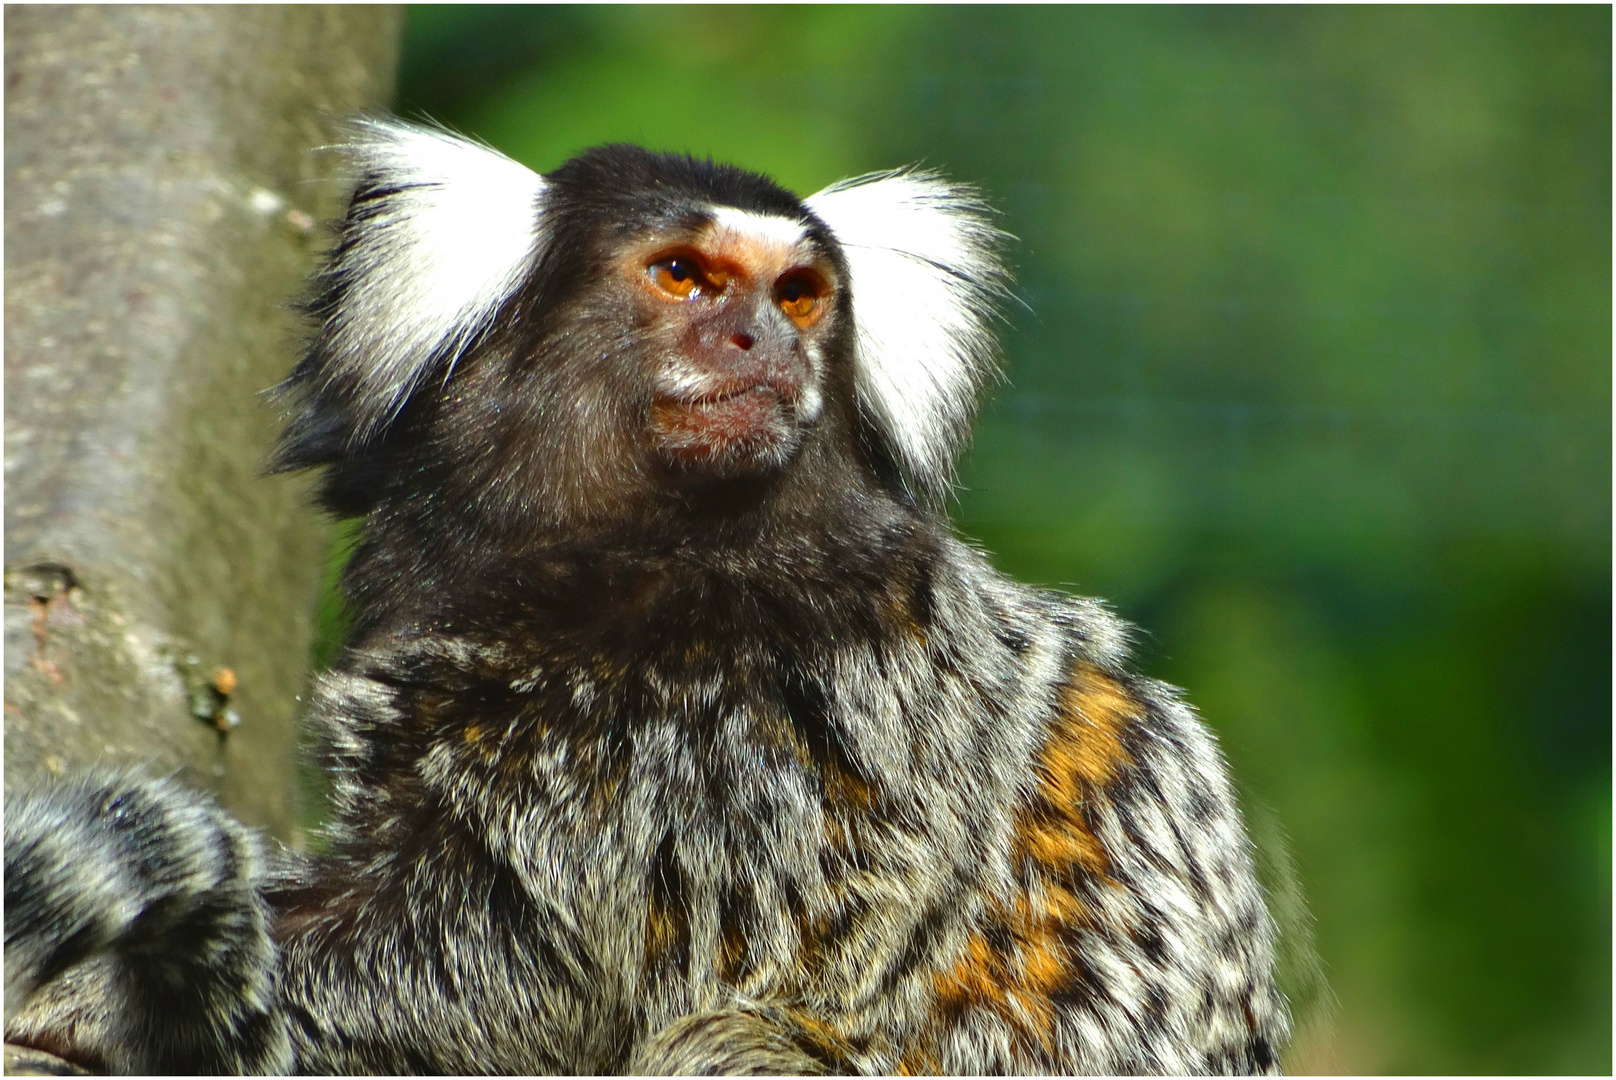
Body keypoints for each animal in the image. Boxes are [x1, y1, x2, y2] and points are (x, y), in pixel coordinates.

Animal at [3, 118, 1286, 1073]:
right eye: (684, 277)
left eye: (801, 295)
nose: (764, 341)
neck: (651, 559)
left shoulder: (742, 729)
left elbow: (522, 973)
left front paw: (86, 1005)